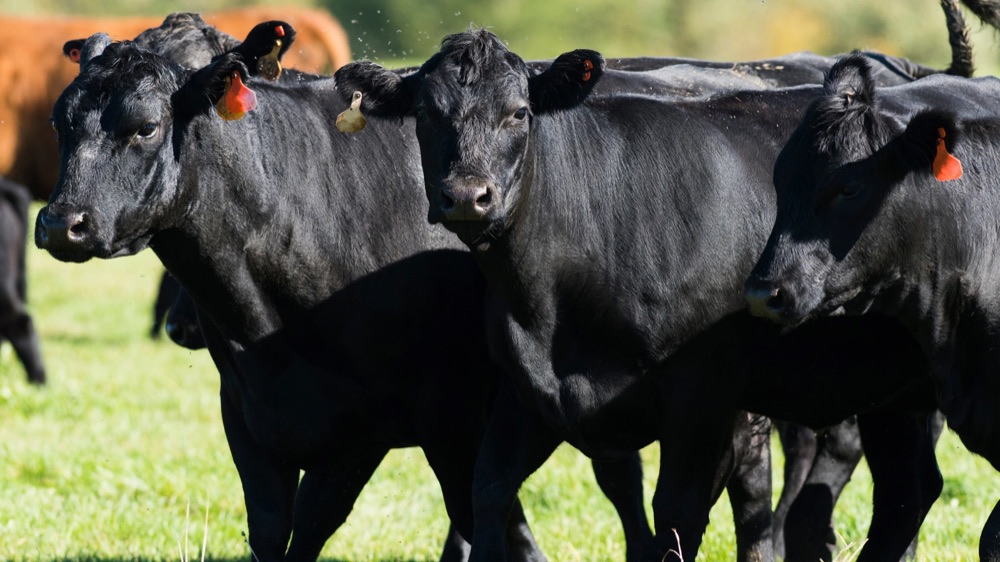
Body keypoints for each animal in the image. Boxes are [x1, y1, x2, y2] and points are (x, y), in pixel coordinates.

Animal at [33, 37, 667, 562]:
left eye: (144, 127)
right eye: (60, 124)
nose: (62, 224)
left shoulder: (401, 422)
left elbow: (324, 522)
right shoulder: (246, 414)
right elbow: (272, 531)